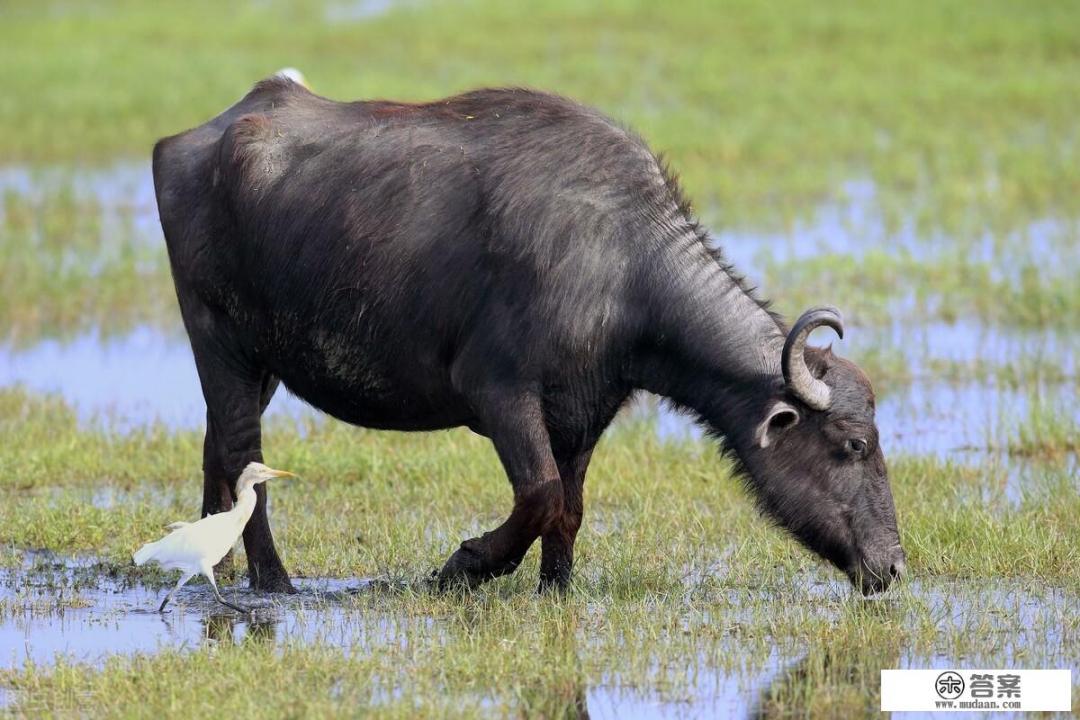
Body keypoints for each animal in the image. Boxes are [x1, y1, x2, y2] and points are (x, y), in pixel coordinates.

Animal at [152, 70, 907, 595]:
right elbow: (540, 496)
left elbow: (568, 509)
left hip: (264, 365)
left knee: (216, 447)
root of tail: (191, 141)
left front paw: (556, 588)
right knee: (244, 454)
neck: (624, 271)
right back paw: (274, 580)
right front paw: (464, 566)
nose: (894, 567)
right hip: (219, 342)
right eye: (853, 444)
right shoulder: (501, 394)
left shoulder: (582, 416)